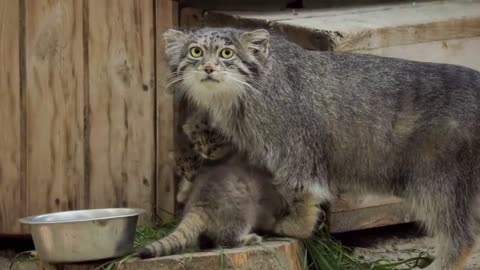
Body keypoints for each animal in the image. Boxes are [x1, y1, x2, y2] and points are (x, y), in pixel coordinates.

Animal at [163, 26, 480, 268]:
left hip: (438, 179)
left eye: (226, 53)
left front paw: (295, 227)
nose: (208, 67)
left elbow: (301, 191)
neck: (249, 87)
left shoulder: (294, 148)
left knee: (462, 238)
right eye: (195, 52)